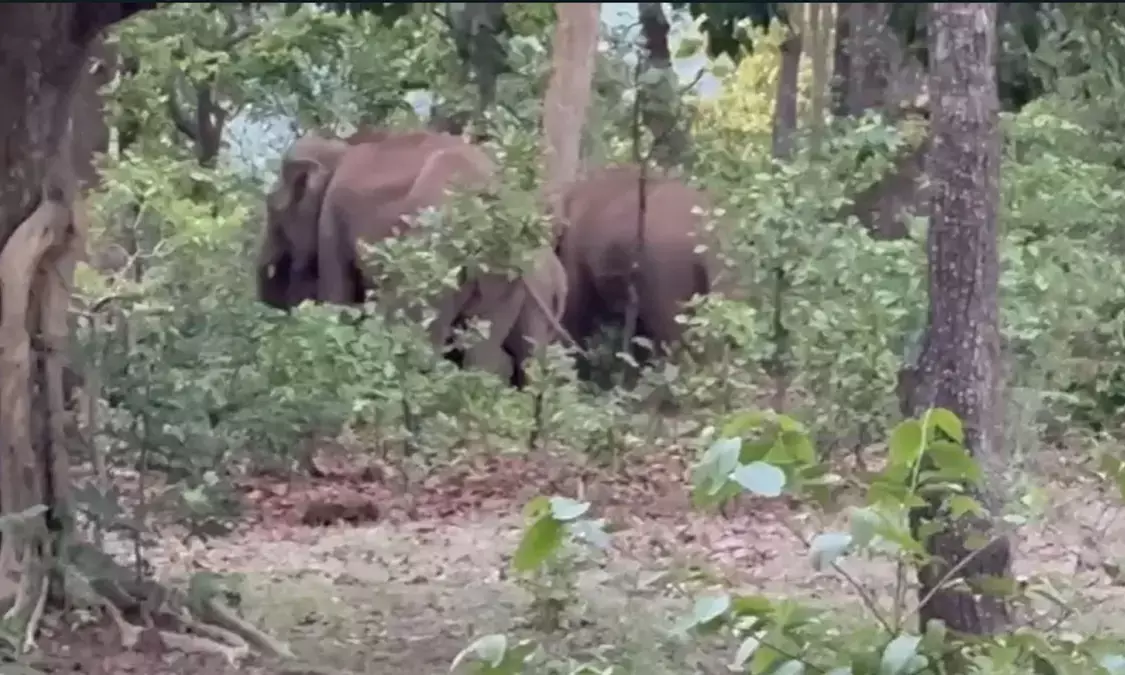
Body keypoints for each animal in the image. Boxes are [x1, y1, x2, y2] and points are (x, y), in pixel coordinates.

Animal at [256, 128, 569, 386]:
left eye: (271, 208)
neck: (339, 149)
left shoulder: (331, 221)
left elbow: (337, 295)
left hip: (435, 258)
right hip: (508, 275)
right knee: (485, 351)